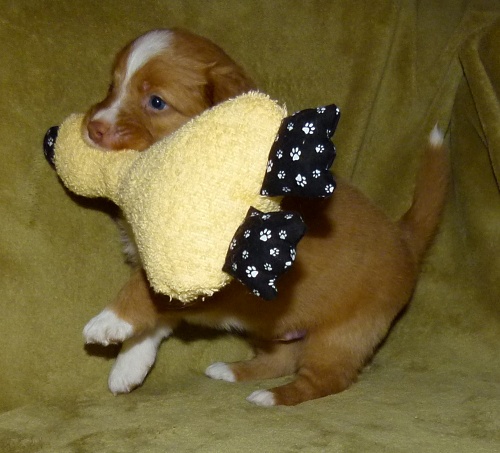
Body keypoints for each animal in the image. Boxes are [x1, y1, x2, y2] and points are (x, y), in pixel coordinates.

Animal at [82, 28, 449, 406]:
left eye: (156, 102)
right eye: (112, 86)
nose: (93, 127)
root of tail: (404, 236)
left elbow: (144, 290)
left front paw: (109, 321)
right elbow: (156, 314)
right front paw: (129, 365)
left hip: (340, 336)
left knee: (328, 379)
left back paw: (272, 397)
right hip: (275, 324)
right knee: (281, 360)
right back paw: (233, 372)